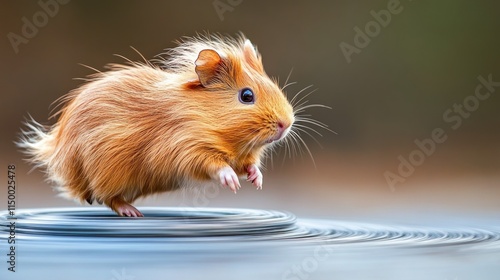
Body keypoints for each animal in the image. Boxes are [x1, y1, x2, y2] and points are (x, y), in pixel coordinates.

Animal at [17, 33, 294, 217]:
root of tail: (56, 151)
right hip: (108, 173)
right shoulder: (187, 149)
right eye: (246, 96)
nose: (286, 124)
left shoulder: (243, 156)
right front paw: (233, 184)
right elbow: (217, 166)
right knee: (107, 198)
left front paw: (257, 182)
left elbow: (250, 166)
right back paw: (133, 213)